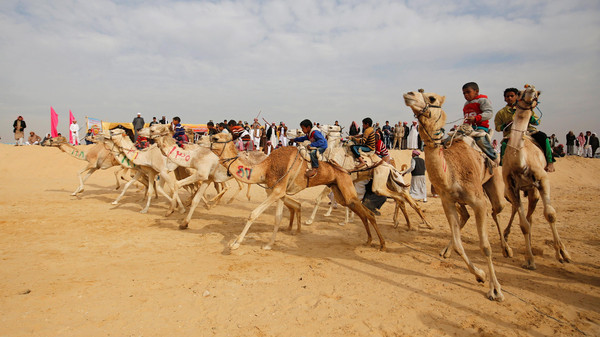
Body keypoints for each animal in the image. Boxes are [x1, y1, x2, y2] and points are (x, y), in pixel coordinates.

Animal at [209, 133, 382, 251]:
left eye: (216, 138)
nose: (205, 138)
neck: (266, 168)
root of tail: (347, 170)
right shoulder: (277, 191)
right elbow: (278, 218)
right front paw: (269, 244)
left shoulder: (277, 190)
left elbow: (253, 214)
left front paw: (235, 243)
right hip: (339, 190)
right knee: (360, 211)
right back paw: (369, 240)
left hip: (345, 186)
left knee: (366, 212)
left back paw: (381, 243)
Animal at [404, 88, 506, 300]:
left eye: (432, 98)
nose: (409, 94)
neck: (451, 170)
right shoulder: (447, 201)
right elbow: (460, 245)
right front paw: (480, 275)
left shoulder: (478, 202)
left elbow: (485, 246)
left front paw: (496, 290)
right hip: (460, 200)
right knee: (465, 216)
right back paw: (446, 250)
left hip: (493, 181)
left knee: (497, 209)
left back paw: (507, 248)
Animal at [502, 85, 572, 270]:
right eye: (519, 93)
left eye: (538, 93)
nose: (531, 90)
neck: (519, 161)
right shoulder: (511, 187)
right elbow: (524, 225)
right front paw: (529, 260)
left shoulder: (542, 180)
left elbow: (551, 215)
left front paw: (562, 253)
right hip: (522, 190)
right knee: (523, 214)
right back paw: (509, 238)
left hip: (534, 188)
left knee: (532, 213)